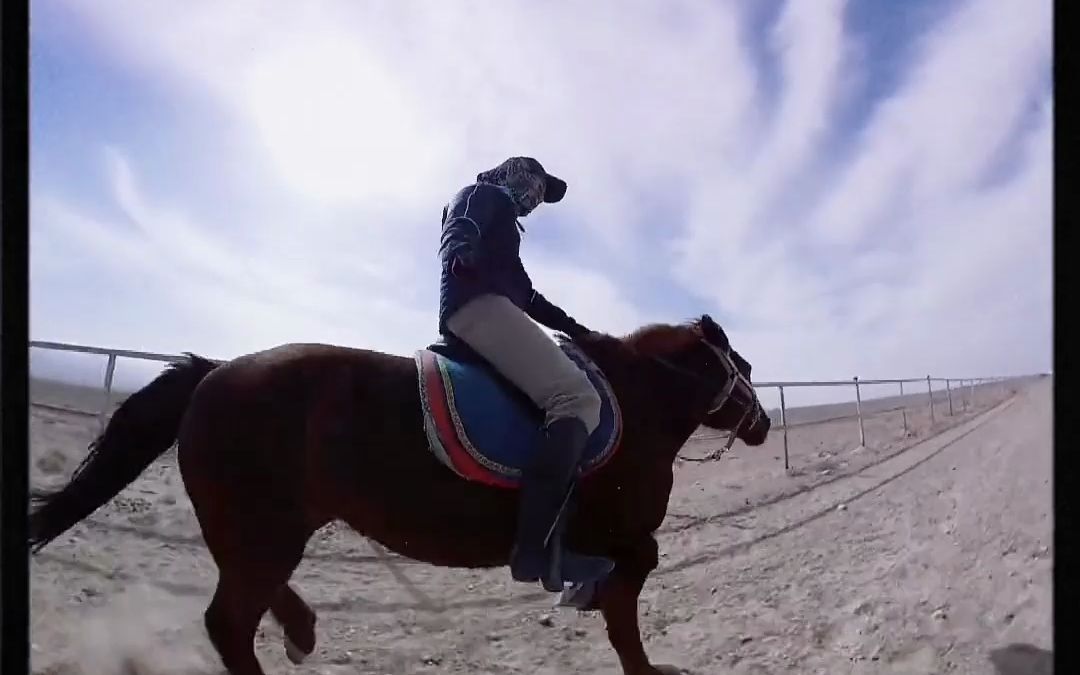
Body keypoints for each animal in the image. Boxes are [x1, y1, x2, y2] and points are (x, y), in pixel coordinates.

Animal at [29, 315, 773, 673]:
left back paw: (302, 631)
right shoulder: (617, 536)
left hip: (260, 533)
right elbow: (626, 598)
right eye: (744, 366)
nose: (764, 423)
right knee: (228, 623)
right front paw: (634, 653)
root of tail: (215, 372)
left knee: (246, 600)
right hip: (264, 531)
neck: (633, 404)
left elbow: (622, 594)